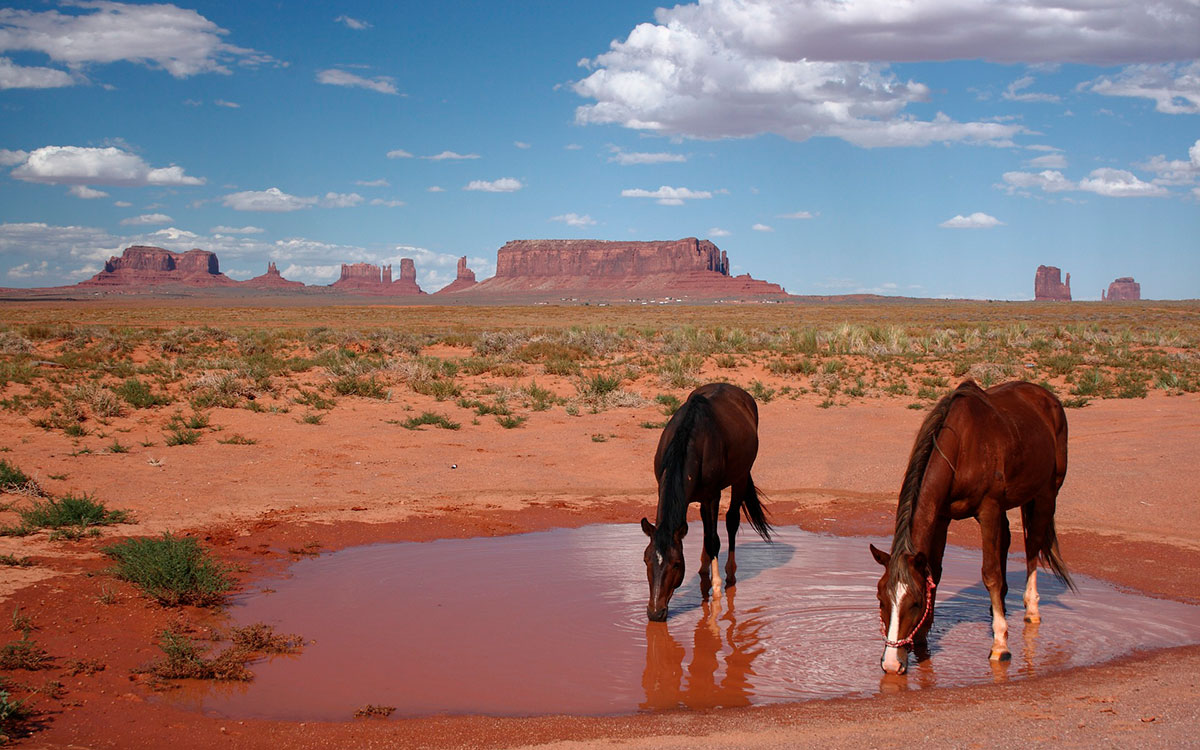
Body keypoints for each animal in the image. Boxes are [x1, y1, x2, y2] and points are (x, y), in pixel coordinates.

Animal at [641, 383, 772, 622]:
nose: (655, 612)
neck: (691, 442)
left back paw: (729, 572)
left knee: (731, 521)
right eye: (646, 560)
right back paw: (704, 567)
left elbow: (714, 539)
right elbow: (706, 532)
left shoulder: (713, 495)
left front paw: (717, 589)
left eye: (676, 564)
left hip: (740, 478)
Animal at [870, 379, 1075, 674]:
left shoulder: (988, 510)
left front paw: (1000, 644)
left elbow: (990, 573)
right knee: (1008, 541)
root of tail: (1048, 397)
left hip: (1046, 493)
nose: (891, 664)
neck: (962, 449)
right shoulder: (942, 516)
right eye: (881, 599)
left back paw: (1030, 610)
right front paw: (922, 638)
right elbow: (936, 571)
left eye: (915, 602)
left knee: (1032, 545)